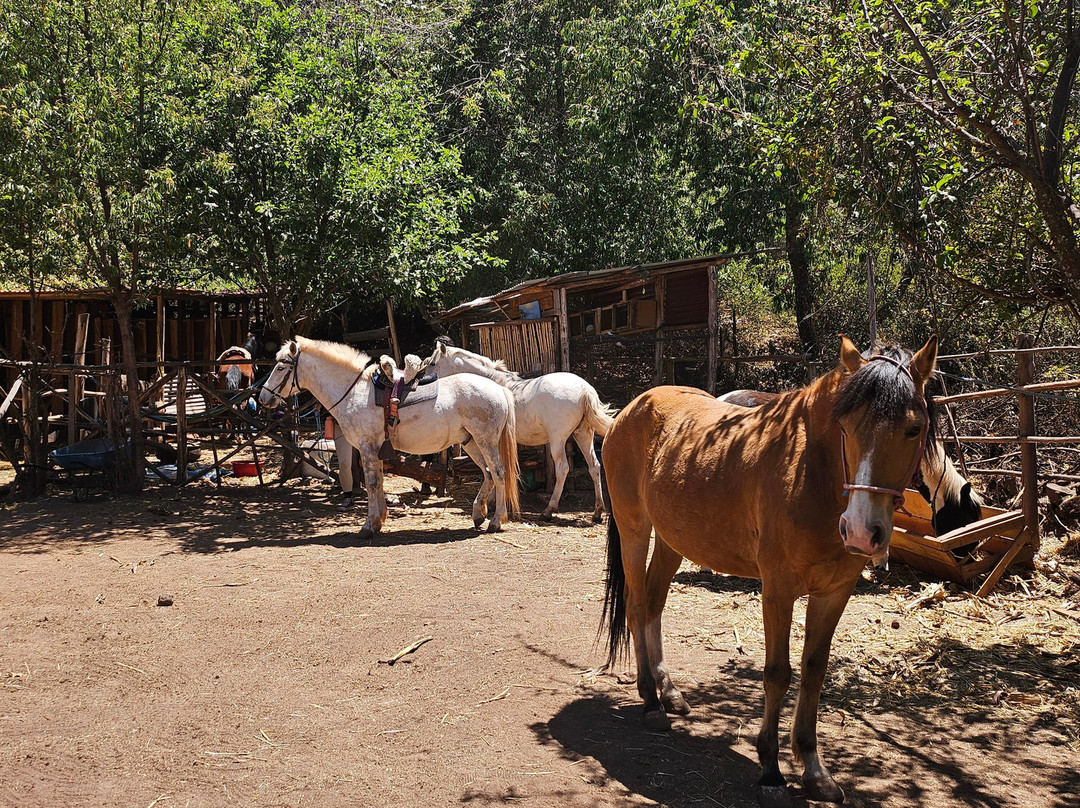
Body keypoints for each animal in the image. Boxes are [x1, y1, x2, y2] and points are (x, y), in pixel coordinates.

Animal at [259, 337, 520, 538]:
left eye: (281, 367)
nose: (263, 398)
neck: (354, 391)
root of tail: (499, 389)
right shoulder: (375, 450)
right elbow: (380, 482)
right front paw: (379, 521)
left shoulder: (367, 448)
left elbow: (373, 483)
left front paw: (368, 525)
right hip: (471, 443)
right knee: (488, 474)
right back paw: (478, 514)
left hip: (486, 442)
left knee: (499, 473)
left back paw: (496, 521)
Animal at [425, 340, 616, 521]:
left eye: (433, 363)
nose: (424, 381)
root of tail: (585, 389)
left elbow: (497, 469)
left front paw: (493, 503)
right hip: (583, 435)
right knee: (595, 466)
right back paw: (597, 512)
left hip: (558, 440)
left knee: (562, 469)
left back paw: (549, 510)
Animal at [600, 336, 938, 807]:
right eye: (846, 427)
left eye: (912, 429)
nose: (860, 530)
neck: (812, 472)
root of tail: (631, 409)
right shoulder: (778, 589)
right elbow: (778, 673)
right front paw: (772, 772)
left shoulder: (834, 592)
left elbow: (814, 670)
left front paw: (814, 770)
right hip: (635, 530)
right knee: (634, 606)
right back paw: (650, 701)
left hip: (671, 541)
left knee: (652, 605)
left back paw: (669, 692)